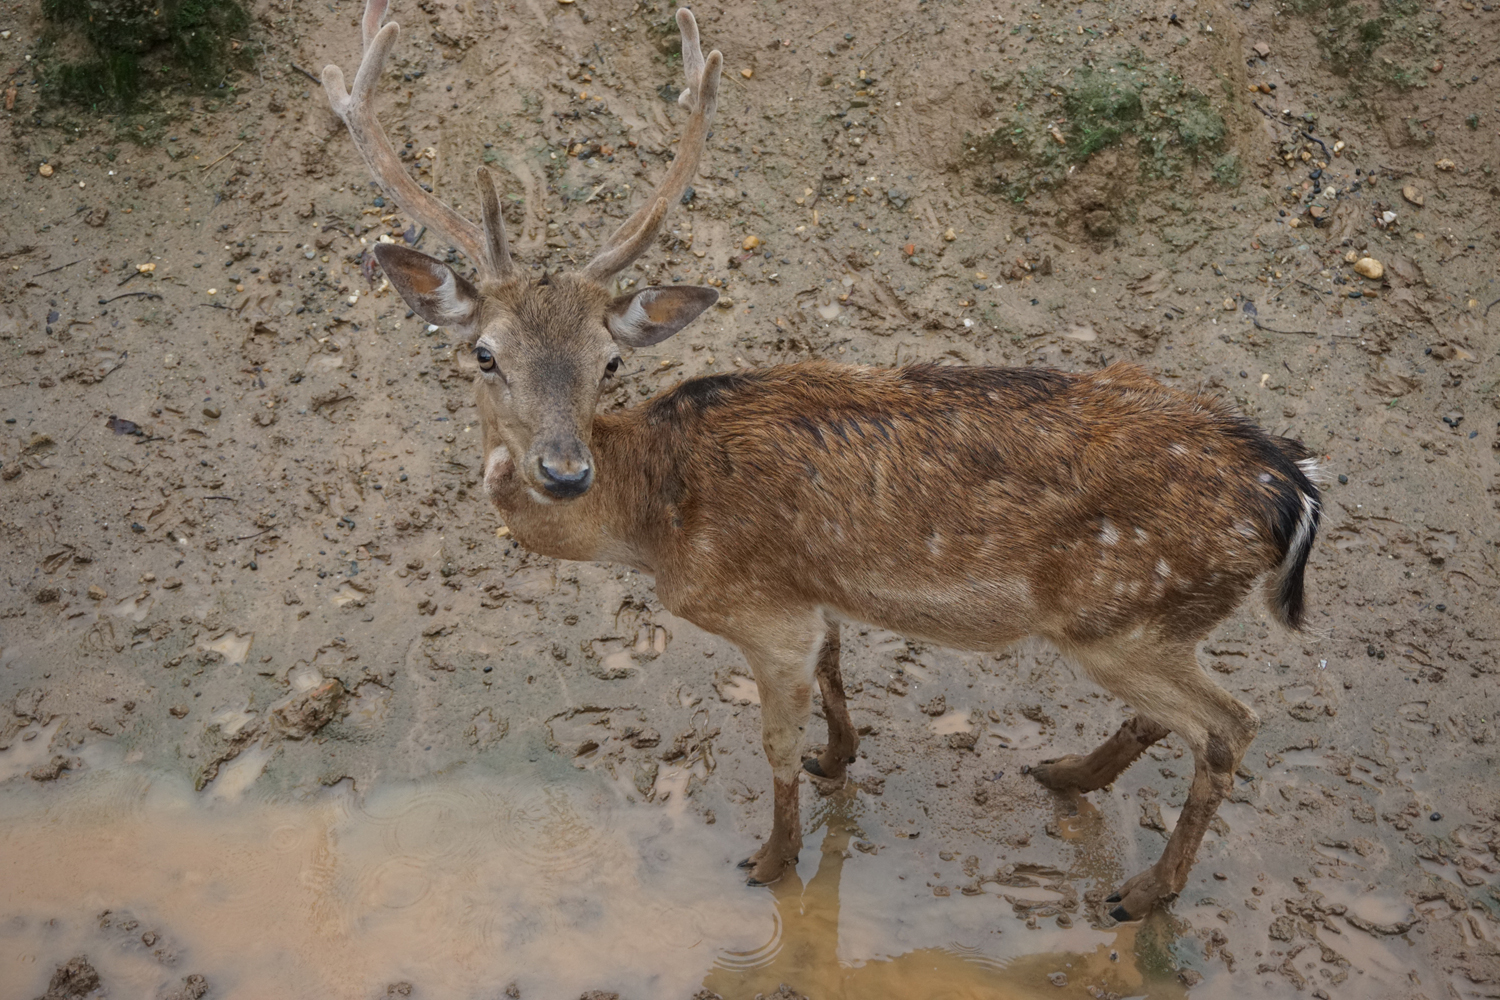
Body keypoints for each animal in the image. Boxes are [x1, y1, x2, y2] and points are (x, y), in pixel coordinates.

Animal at [323, 0, 1322, 921]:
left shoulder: (759, 611)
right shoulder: (814, 595)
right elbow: (839, 669)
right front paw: (839, 757)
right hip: (1152, 625)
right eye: (485, 354)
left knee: (1230, 725)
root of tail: (1291, 487)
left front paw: (772, 859)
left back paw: (1144, 891)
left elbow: (770, 744)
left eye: (609, 362)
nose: (563, 471)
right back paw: (1065, 775)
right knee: (1178, 718)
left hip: (1121, 618)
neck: (652, 522)